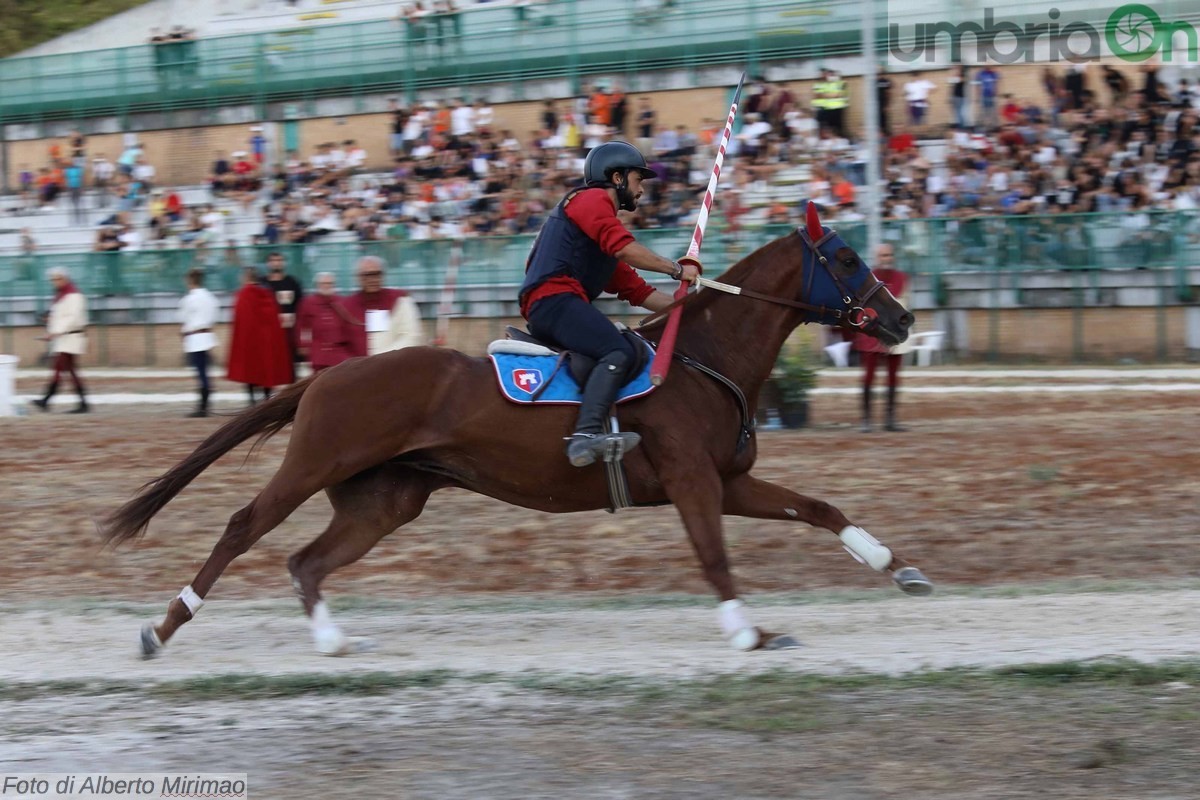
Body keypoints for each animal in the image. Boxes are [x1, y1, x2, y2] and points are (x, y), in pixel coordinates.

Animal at [103, 205, 926, 657]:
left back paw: (332, 641)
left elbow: (819, 509)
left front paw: (896, 567)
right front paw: (748, 633)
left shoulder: (728, 481)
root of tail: (331, 373)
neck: (700, 355)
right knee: (244, 527)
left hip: (384, 500)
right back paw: (164, 627)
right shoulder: (695, 481)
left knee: (307, 562)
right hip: (314, 465)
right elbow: (715, 559)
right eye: (845, 257)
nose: (902, 317)